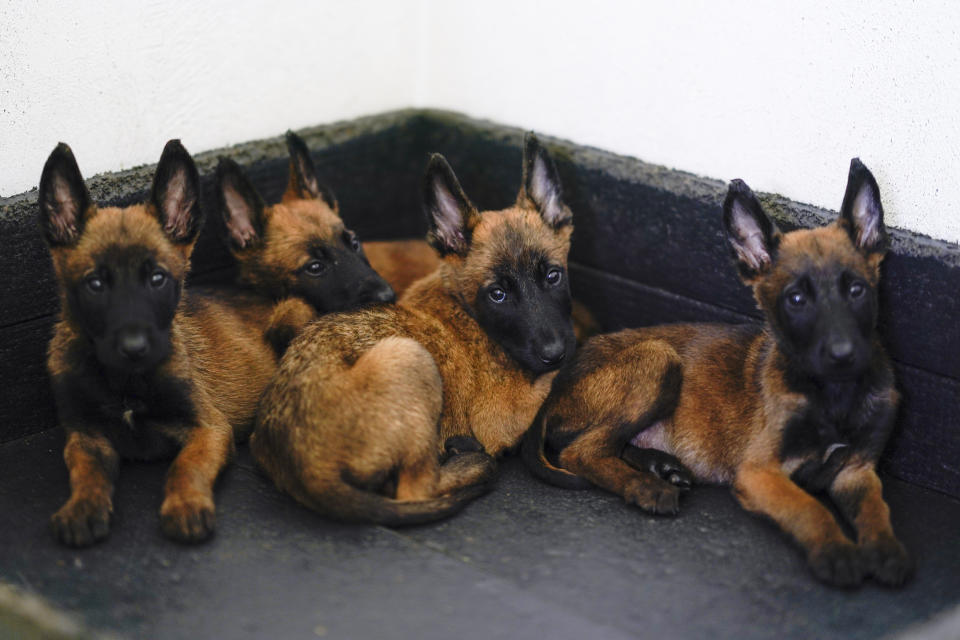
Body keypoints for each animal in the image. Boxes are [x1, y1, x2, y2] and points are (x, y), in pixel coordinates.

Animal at [43, 140, 280, 544]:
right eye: (95, 284)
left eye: (157, 279)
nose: (134, 348)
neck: (124, 383)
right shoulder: (84, 436)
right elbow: (86, 473)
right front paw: (82, 507)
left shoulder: (210, 428)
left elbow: (185, 466)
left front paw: (185, 504)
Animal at [251, 134, 572, 524]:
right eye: (498, 294)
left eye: (553, 276)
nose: (554, 353)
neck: (469, 311)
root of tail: (304, 468)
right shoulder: (501, 415)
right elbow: (555, 379)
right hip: (410, 356)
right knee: (414, 489)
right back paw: (469, 461)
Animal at [524, 159, 908, 584]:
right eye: (795, 299)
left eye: (857, 290)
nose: (843, 355)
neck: (833, 397)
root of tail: (559, 380)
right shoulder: (759, 472)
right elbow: (809, 506)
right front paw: (836, 550)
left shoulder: (857, 471)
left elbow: (877, 511)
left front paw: (886, 549)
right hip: (658, 358)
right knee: (581, 451)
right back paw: (646, 487)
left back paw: (661, 466)